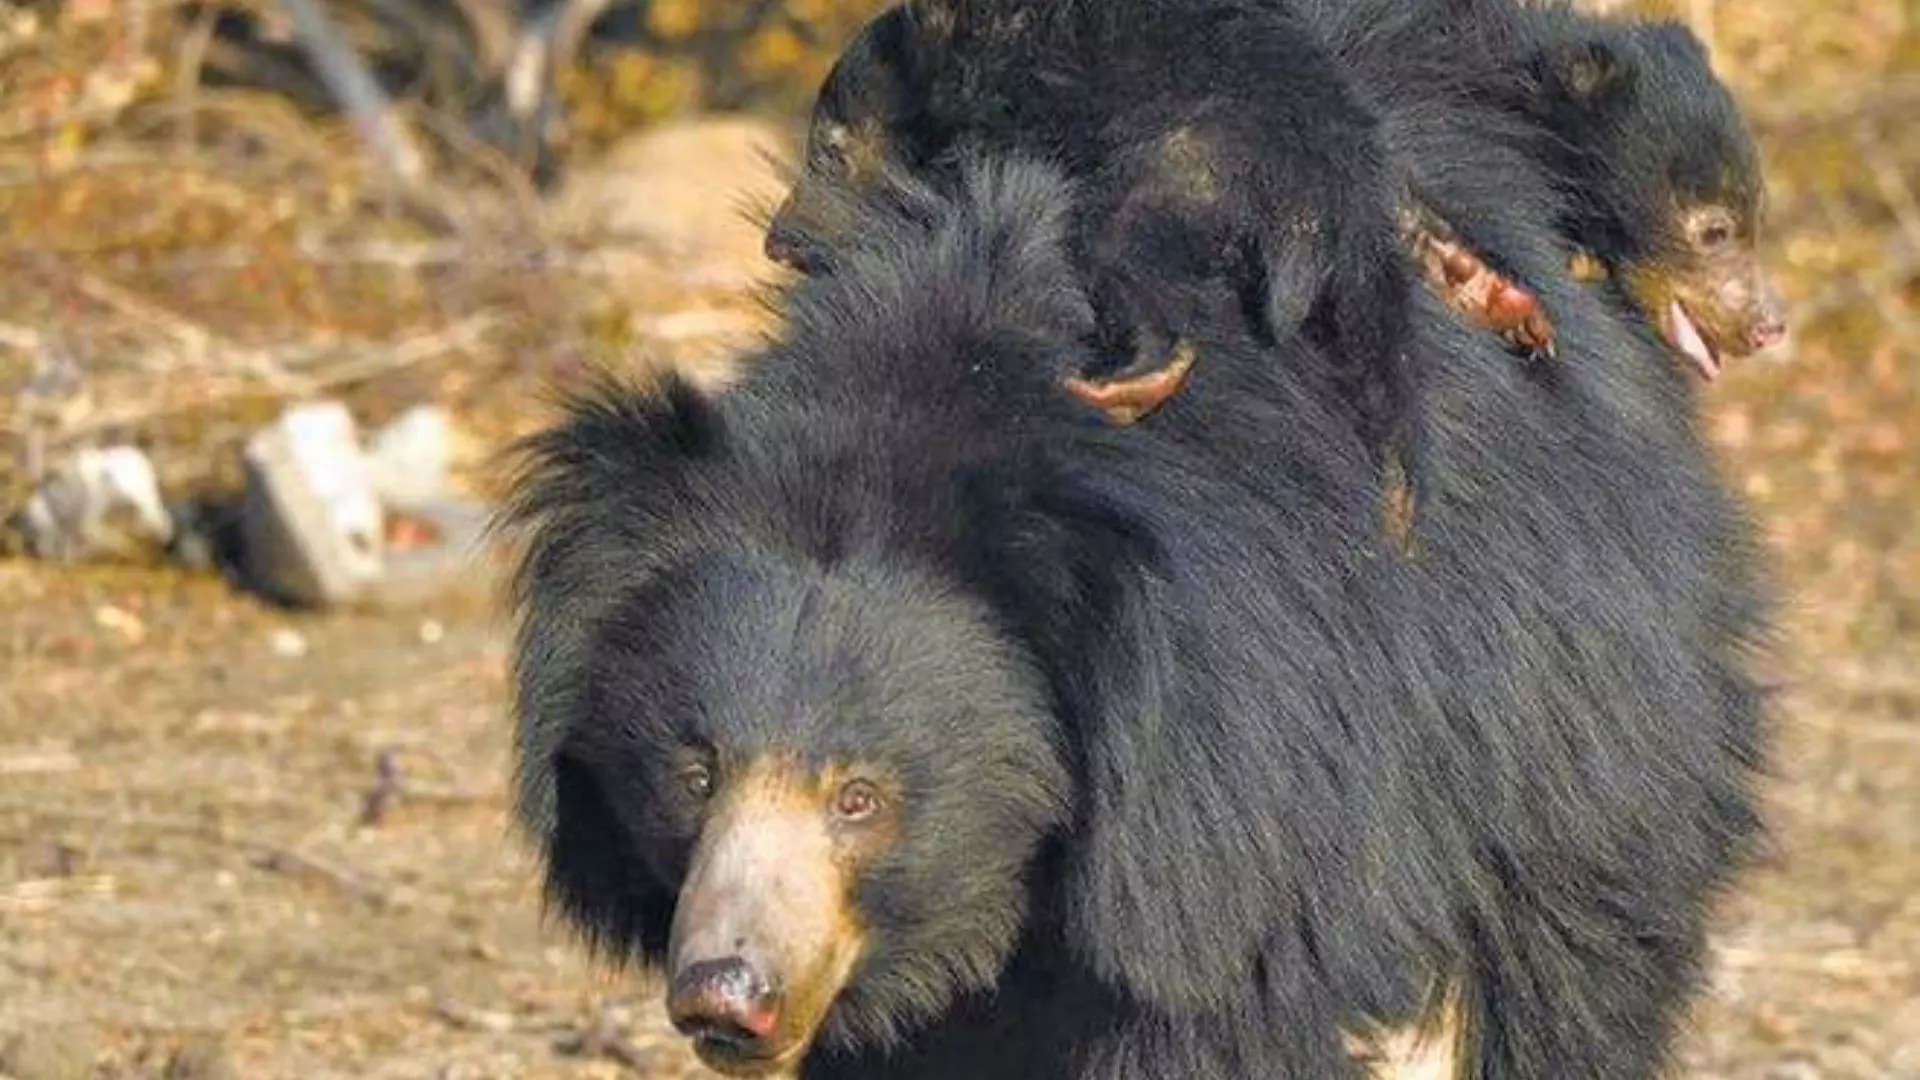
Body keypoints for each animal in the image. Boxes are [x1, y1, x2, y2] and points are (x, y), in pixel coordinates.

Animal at [506, 153, 1766, 1076]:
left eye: (860, 798)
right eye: (695, 772)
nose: (728, 994)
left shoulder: (1225, 818)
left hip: (1579, 725)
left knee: (1577, 965)